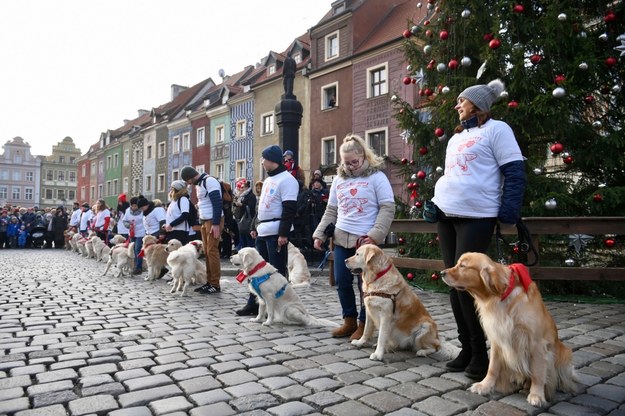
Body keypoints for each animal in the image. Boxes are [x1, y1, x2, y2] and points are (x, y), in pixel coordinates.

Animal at [438, 252, 576, 408]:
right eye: (458, 263)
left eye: (463, 266)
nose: (441, 273)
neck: (500, 298)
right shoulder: (497, 338)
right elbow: (492, 367)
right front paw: (485, 386)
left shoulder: (537, 344)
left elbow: (537, 373)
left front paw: (537, 395)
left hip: (565, 354)